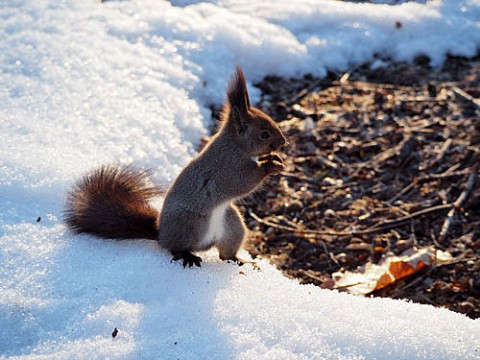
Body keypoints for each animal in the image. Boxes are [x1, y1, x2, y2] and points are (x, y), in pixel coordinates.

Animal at [65, 67, 286, 268]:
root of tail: (161, 234)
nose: (284, 142)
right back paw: (187, 256)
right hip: (190, 224)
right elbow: (243, 182)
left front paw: (274, 158)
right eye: (264, 134)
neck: (235, 145)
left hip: (232, 226)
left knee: (225, 254)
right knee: (176, 248)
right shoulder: (227, 168)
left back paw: (240, 261)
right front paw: (269, 166)